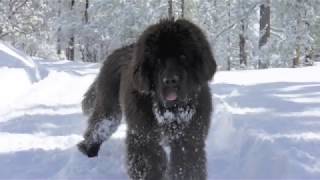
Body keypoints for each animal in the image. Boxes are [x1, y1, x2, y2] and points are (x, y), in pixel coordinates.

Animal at [78, 19, 218, 179]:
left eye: (183, 56)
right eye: (157, 60)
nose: (170, 80)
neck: (170, 111)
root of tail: (117, 51)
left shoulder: (188, 139)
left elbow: (185, 166)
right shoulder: (144, 139)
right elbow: (149, 165)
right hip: (109, 106)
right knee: (99, 126)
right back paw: (89, 149)